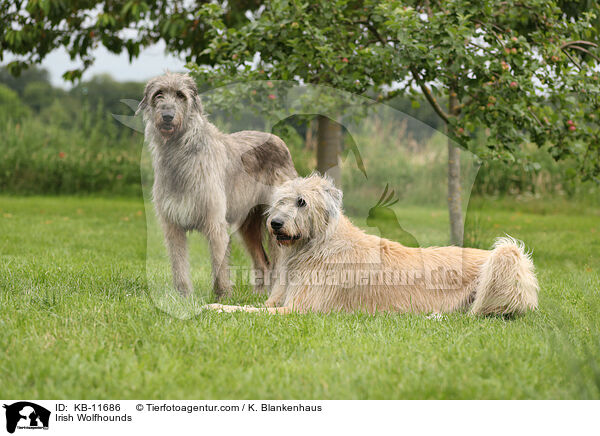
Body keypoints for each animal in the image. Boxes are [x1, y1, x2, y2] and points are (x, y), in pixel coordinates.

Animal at [141, 73, 300, 298]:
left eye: (180, 95)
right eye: (158, 94)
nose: (167, 116)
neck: (181, 150)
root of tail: (280, 142)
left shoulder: (215, 222)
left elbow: (219, 262)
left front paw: (223, 294)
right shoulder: (173, 224)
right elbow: (178, 261)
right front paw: (183, 295)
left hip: (277, 223)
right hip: (248, 224)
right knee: (263, 261)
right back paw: (258, 295)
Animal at [206, 175, 540, 316]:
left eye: (302, 202)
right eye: (280, 201)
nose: (275, 224)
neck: (318, 244)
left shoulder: (300, 310)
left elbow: (249, 313)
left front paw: (218, 310)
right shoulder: (277, 301)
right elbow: (249, 306)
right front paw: (216, 305)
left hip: (503, 263)